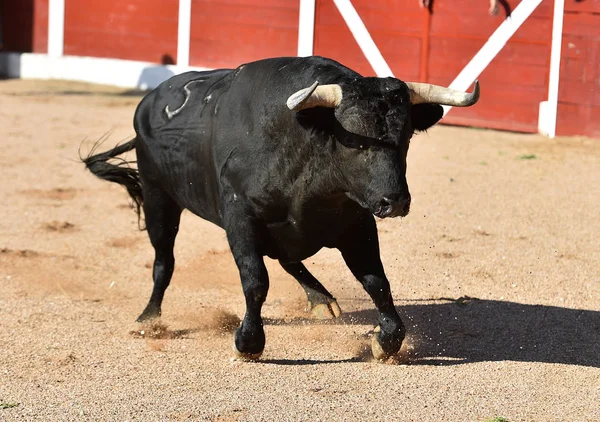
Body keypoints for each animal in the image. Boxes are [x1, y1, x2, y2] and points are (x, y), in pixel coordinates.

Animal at [84, 55, 478, 360]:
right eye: (354, 140)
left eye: (406, 135)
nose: (393, 201)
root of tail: (148, 103)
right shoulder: (240, 218)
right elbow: (256, 280)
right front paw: (248, 343)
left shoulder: (357, 224)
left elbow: (377, 281)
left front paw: (386, 342)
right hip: (158, 198)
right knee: (164, 261)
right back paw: (149, 318)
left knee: (288, 260)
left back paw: (321, 301)